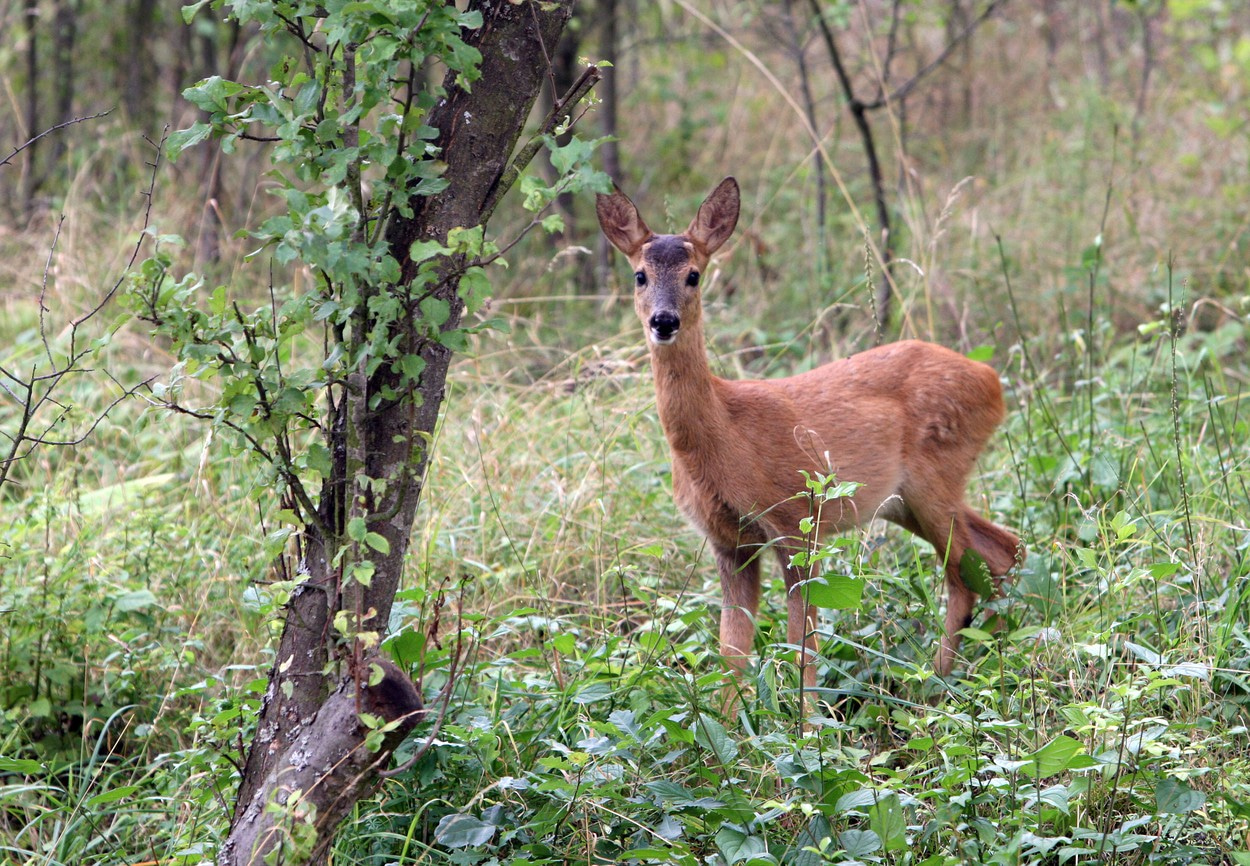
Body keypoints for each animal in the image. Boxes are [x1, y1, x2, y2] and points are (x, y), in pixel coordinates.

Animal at [597, 176, 1025, 689]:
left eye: (694, 275)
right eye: (639, 275)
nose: (664, 321)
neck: (725, 439)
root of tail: (992, 380)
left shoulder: (797, 520)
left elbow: (803, 648)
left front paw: (806, 713)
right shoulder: (729, 542)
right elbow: (732, 653)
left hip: (935, 478)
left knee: (964, 574)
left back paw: (936, 687)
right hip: (904, 501)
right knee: (1002, 549)